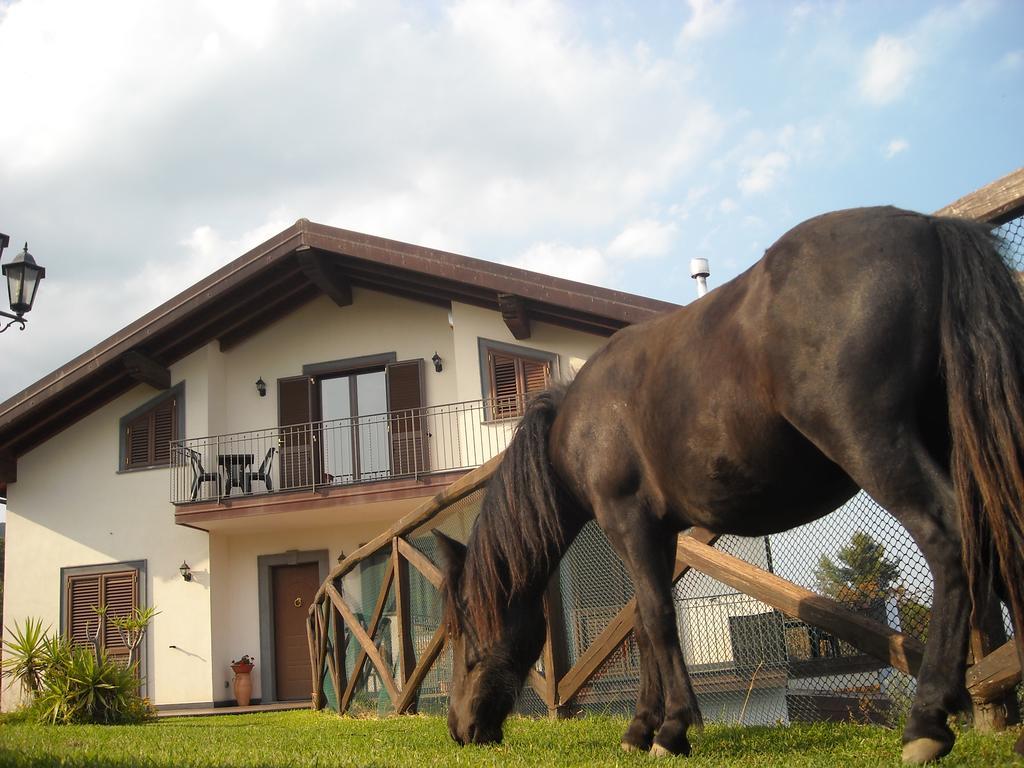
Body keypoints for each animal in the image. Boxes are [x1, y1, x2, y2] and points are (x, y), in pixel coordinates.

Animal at [432, 207, 1024, 765]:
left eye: (462, 628)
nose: (459, 729)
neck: (578, 426)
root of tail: (928, 227)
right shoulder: (658, 533)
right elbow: (643, 624)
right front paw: (640, 727)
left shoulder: (629, 522)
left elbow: (657, 618)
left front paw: (672, 730)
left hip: (876, 446)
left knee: (952, 541)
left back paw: (926, 722)